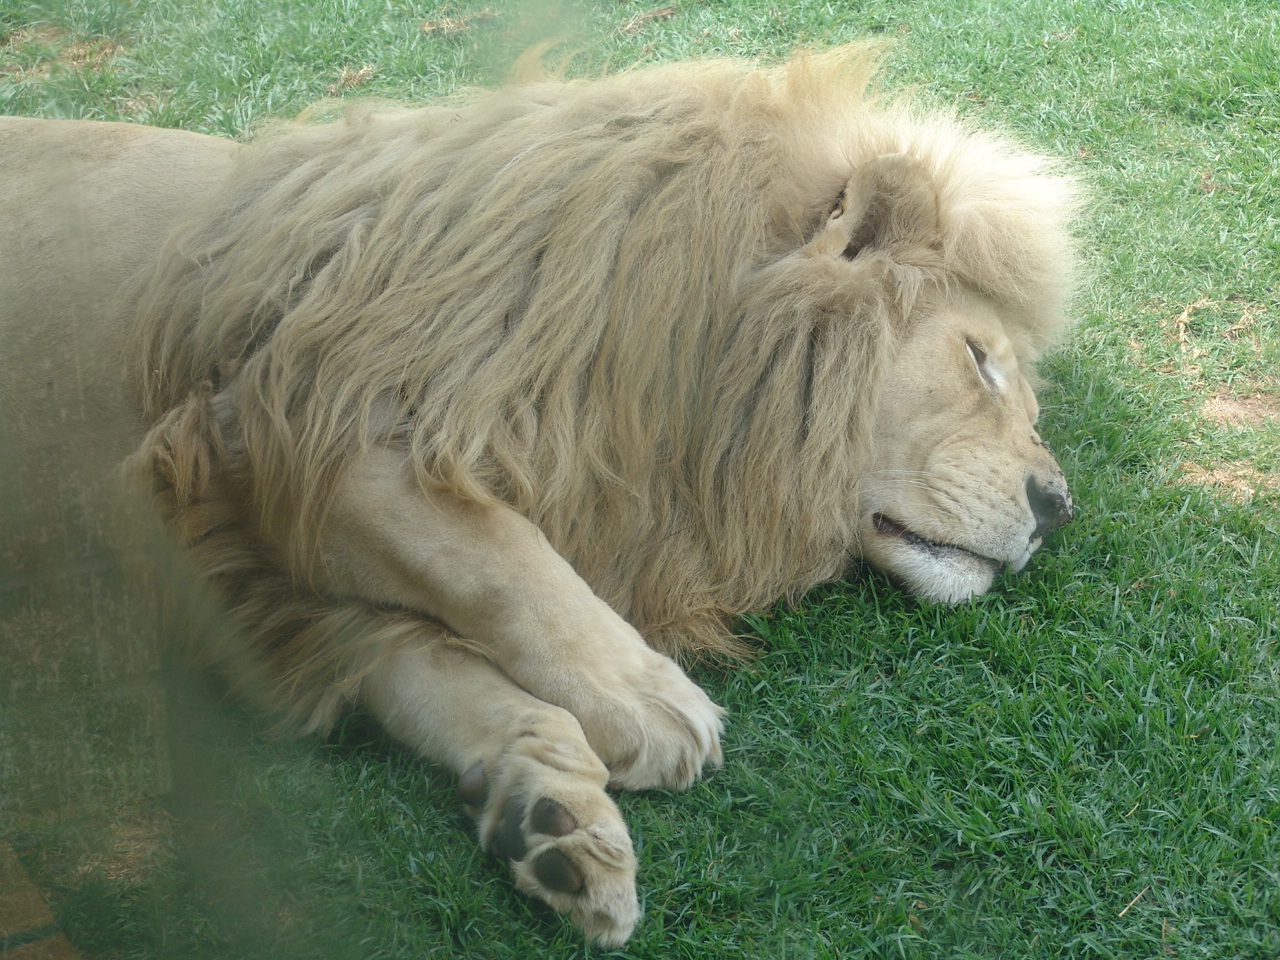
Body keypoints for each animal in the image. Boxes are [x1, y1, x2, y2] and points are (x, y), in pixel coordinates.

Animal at [0, 47, 1076, 944]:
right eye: (979, 361)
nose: (1057, 508)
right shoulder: (285, 426)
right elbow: (500, 557)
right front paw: (645, 699)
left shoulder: (263, 570)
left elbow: (434, 662)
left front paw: (546, 813)